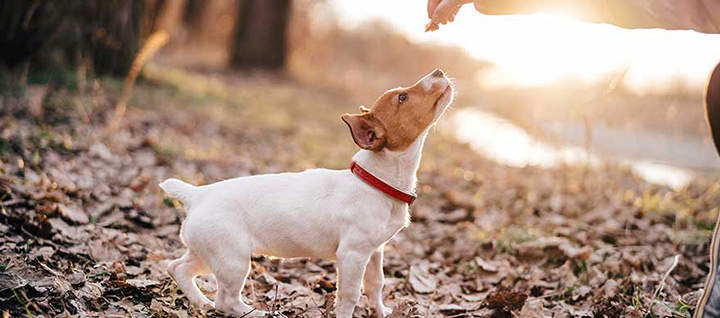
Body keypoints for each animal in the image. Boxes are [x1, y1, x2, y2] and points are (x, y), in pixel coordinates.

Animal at [160, 68, 456, 316]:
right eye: (402, 98)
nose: (439, 71)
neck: (374, 180)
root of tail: (197, 195)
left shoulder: (374, 252)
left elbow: (376, 285)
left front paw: (381, 312)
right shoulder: (353, 255)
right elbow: (349, 296)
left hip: (207, 252)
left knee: (178, 268)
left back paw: (200, 302)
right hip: (233, 258)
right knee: (226, 301)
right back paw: (256, 313)